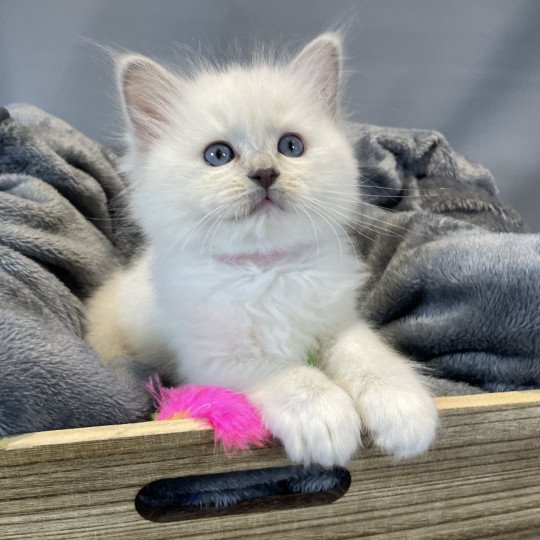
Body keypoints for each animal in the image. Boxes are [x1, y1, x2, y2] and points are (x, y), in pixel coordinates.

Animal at [85, 33, 438, 466]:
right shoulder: (215, 359)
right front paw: (325, 417)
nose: (265, 173)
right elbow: (290, 375)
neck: (268, 270)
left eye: (291, 146)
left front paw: (404, 411)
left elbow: (369, 357)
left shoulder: (338, 324)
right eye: (218, 155)